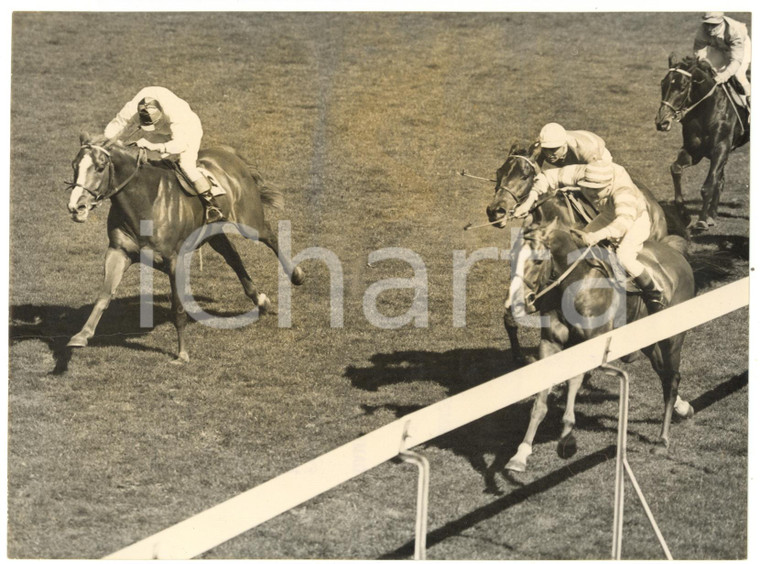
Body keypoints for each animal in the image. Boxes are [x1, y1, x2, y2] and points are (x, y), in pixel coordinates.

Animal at [67, 133, 306, 362]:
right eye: (74, 165)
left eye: (100, 167)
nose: (75, 207)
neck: (146, 203)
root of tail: (229, 153)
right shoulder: (119, 251)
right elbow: (104, 294)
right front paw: (82, 335)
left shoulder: (174, 260)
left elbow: (178, 308)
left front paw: (182, 353)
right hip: (214, 233)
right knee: (233, 256)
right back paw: (260, 300)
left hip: (250, 222)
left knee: (270, 237)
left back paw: (296, 275)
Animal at [504, 220, 696, 472]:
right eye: (512, 257)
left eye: (537, 260)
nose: (514, 303)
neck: (576, 284)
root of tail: (675, 253)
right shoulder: (550, 343)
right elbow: (540, 402)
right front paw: (521, 453)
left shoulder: (587, 346)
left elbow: (573, 384)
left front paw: (566, 438)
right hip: (648, 342)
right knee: (665, 374)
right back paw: (683, 408)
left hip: (671, 339)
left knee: (672, 379)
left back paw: (663, 440)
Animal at [652, 52, 748, 229]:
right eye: (663, 84)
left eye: (682, 87)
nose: (662, 122)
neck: (707, 111)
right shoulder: (694, 150)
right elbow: (675, 169)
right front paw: (685, 216)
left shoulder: (721, 148)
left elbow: (708, 186)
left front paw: (702, 219)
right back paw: (712, 214)